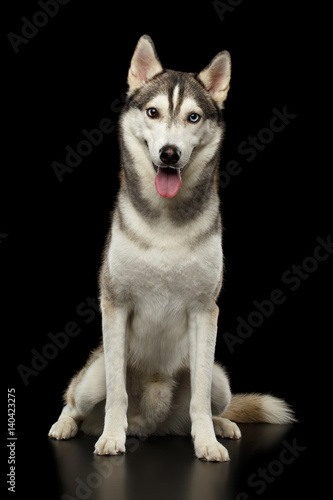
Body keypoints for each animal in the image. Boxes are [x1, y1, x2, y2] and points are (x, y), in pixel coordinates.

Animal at [48, 34, 294, 460]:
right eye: (153, 112)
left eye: (193, 118)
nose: (169, 153)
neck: (166, 221)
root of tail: (153, 426)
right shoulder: (114, 305)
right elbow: (117, 391)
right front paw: (111, 436)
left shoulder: (205, 311)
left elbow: (199, 398)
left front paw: (207, 442)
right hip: (92, 378)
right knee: (75, 401)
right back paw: (69, 425)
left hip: (220, 380)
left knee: (208, 402)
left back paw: (220, 425)